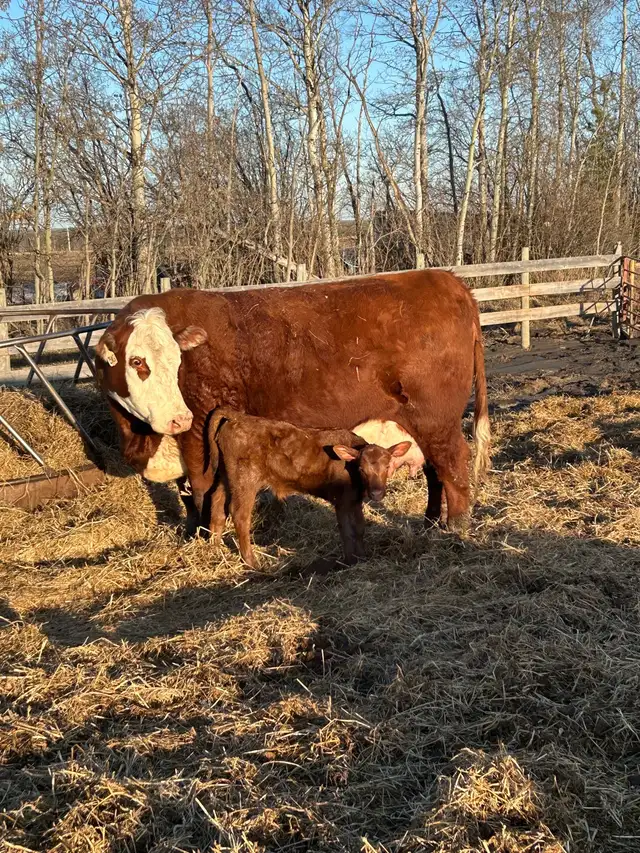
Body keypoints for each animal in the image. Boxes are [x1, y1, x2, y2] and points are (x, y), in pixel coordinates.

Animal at [94, 270, 490, 535]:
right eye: (137, 361)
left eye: (178, 360)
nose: (178, 418)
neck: (144, 437)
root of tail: (447, 279)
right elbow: (187, 494)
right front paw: (192, 532)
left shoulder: (198, 438)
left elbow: (202, 488)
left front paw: (206, 536)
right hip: (417, 424)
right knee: (435, 470)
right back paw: (429, 522)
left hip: (436, 419)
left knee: (453, 462)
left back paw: (456, 527)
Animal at [207, 407, 412, 567]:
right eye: (362, 468)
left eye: (387, 466)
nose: (376, 493)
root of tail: (238, 418)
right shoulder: (342, 501)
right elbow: (347, 531)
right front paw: (349, 561)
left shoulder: (355, 500)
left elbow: (360, 528)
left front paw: (362, 556)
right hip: (245, 480)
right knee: (240, 515)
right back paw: (252, 562)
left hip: (226, 477)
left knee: (217, 505)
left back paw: (215, 548)